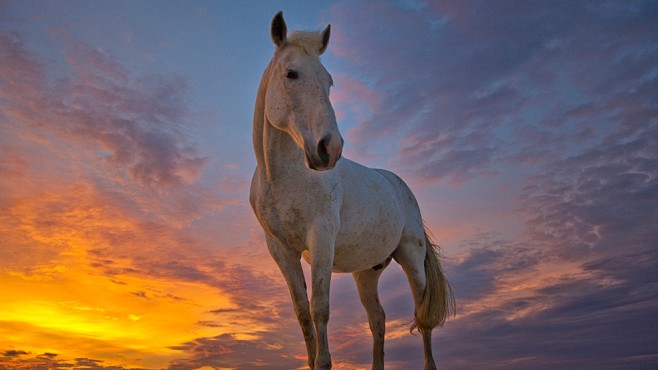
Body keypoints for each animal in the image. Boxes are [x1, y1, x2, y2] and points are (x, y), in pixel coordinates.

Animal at [249, 11, 454, 370]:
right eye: (291, 73)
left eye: (329, 81)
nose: (329, 149)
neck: (282, 178)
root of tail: (399, 185)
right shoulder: (281, 251)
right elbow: (303, 314)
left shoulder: (321, 239)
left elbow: (320, 308)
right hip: (366, 273)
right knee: (378, 319)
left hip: (411, 257)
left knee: (422, 316)